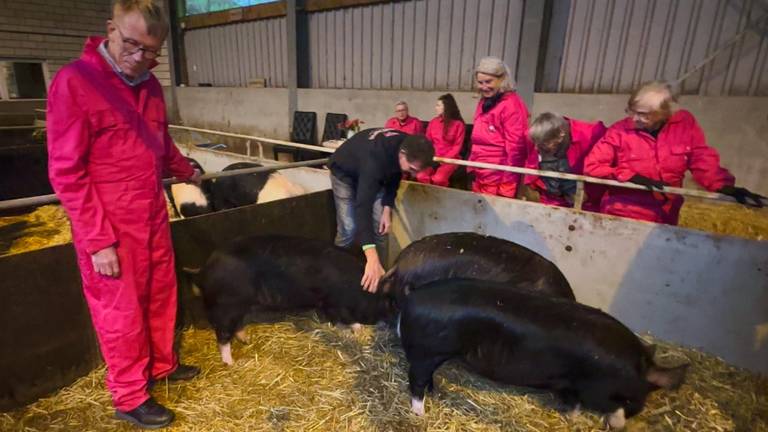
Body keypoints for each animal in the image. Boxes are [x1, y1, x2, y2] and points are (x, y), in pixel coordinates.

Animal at [187, 236, 396, 364]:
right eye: (386, 305)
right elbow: (344, 318)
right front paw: (357, 329)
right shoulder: (333, 302)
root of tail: (205, 269)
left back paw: (247, 340)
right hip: (226, 306)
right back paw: (230, 363)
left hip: (237, 307)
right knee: (222, 335)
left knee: (236, 326)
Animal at [400, 278, 688, 426]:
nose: (620, 427)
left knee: (426, 379)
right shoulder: (585, 386)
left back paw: (435, 394)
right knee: (416, 381)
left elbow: (572, 402)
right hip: (426, 352)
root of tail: (412, 295)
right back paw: (420, 413)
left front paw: (571, 418)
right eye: (631, 400)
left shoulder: (569, 383)